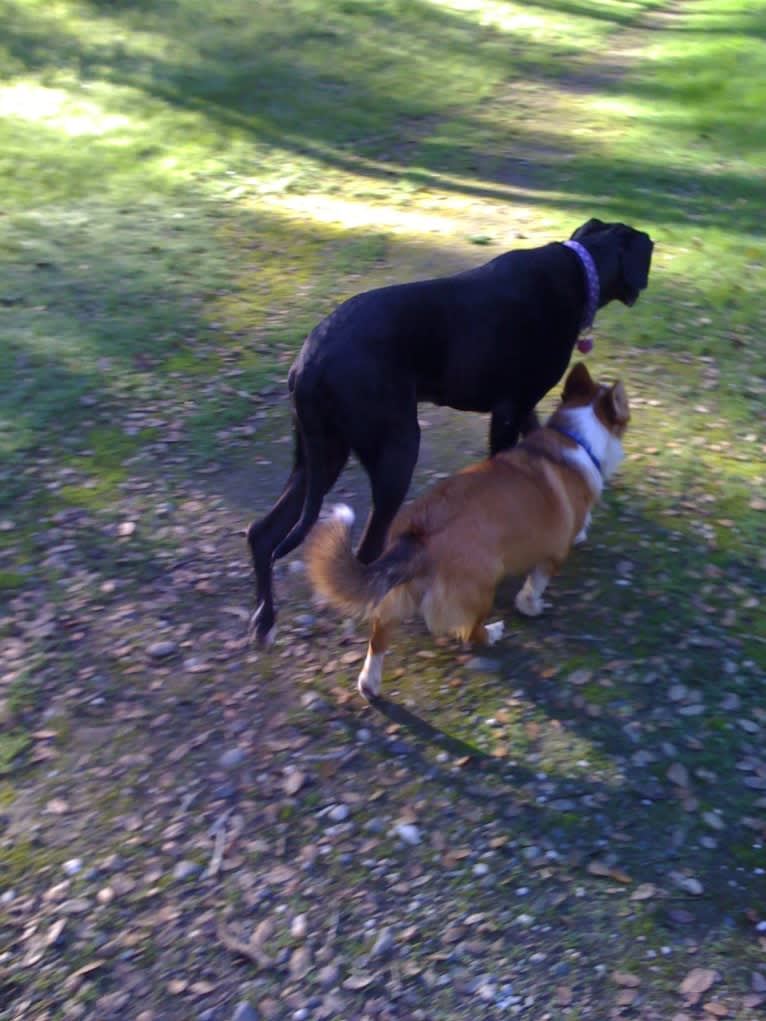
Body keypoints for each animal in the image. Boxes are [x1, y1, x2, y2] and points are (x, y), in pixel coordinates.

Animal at [247, 218, 653, 641]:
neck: (580, 267)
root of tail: (308, 362)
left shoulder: (524, 407)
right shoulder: (508, 410)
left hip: (320, 458)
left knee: (262, 533)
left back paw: (265, 620)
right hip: (397, 451)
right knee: (367, 552)